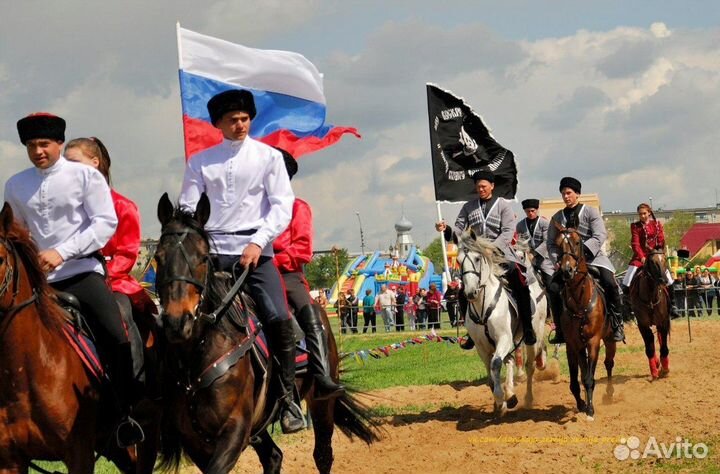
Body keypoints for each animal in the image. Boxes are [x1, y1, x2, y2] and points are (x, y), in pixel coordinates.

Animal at [155, 193, 380, 474]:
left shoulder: (235, 429)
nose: (177, 322)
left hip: (321, 403)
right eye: (158, 257)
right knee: (274, 456)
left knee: (322, 454)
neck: (200, 351)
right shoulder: (195, 440)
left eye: (203, 258)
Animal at [458, 231, 548, 416]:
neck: (483, 306)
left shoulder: (504, 339)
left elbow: (496, 364)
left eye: (477, 258)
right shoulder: (482, 347)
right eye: (458, 260)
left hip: (533, 333)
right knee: (511, 360)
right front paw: (501, 402)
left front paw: (501, 398)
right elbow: (490, 373)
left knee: (530, 365)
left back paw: (528, 397)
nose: (470, 293)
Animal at [556, 224, 616, 420]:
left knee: (609, 363)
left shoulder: (593, 342)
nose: (566, 270)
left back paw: (609, 393)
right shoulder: (572, 345)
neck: (580, 300)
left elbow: (589, 378)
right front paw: (582, 404)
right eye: (558, 244)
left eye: (576, 242)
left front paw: (590, 410)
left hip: (610, 339)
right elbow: (577, 379)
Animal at [628, 250, 672, 380]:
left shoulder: (663, 322)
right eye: (652, 262)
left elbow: (664, 346)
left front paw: (665, 369)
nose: (664, 280)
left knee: (661, 340)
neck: (651, 298)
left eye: (665, 259)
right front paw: (654, 370)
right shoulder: (643, 325)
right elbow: (649, 347)